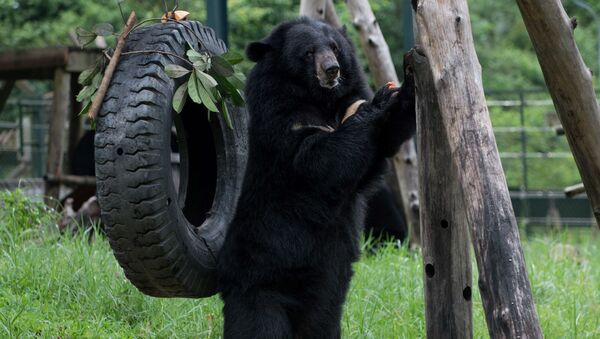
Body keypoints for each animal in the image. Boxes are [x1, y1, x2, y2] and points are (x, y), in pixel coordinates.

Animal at [217, 17, 418, 338]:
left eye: (335, 48)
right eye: (309, 52)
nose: (332, 70)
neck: (321, 99)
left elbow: (381, 145)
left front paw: (407, 80)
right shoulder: (281, 116)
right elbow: (316, 161)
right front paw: (379, 99)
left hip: (329, 276)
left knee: (321, 318)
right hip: (259, 270)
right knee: (258, 322)